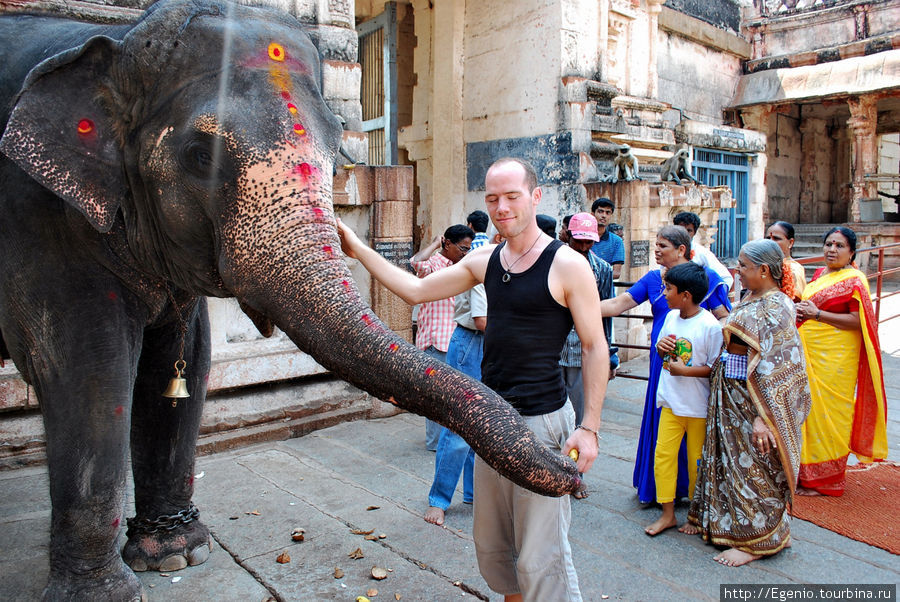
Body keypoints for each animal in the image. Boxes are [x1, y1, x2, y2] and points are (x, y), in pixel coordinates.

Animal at [0, 2, 576, 596]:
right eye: (199, 156)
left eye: (335, 154)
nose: (573, 471)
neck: (116, 39)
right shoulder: (36, 216)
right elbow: (90, 370)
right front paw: (105, 593)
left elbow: (186, 363)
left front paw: (177, 554)